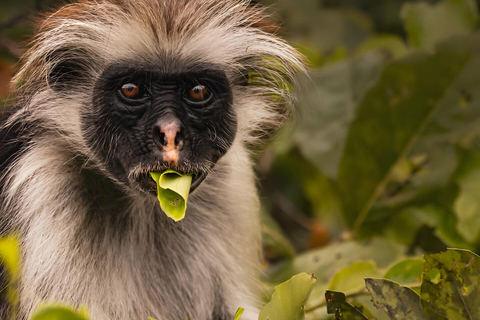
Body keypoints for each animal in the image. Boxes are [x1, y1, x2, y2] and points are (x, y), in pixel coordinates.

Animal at [0, 0, 306, 320]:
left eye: (198, 91)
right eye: (131, 89)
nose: (170, 134)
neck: (142, 206)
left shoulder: (232, 180)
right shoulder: (41, 181)